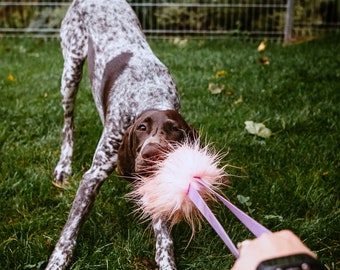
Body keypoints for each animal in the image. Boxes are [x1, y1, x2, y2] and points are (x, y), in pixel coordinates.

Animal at [48, 0, 197, 270]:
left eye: (176, 130)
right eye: (141, 128)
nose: (151, 154)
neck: (150, 95)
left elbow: (164, 238)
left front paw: (167, 260)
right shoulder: (93, 176)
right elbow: (70, 229)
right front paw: (57, 261)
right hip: (70, 73)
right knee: (68, 124)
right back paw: (64, 165)